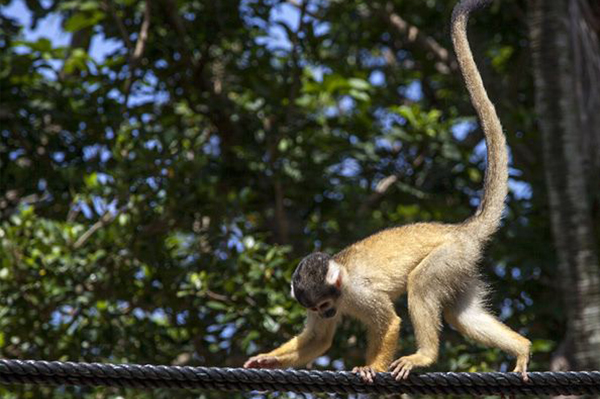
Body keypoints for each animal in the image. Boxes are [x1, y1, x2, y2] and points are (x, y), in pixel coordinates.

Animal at [243, 0, 528, 382]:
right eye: (316, 307)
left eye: (326, 304)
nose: (327, 312)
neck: (341, 280)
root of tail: (462, 229)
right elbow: (318, 340)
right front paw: (266, 360)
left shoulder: (358, 292)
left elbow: (389, 322)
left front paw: (370, 367)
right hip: (463, 263)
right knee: (461, 315)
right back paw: (523, 347)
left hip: (449, 256)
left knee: (421, 284)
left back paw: (424, 356)